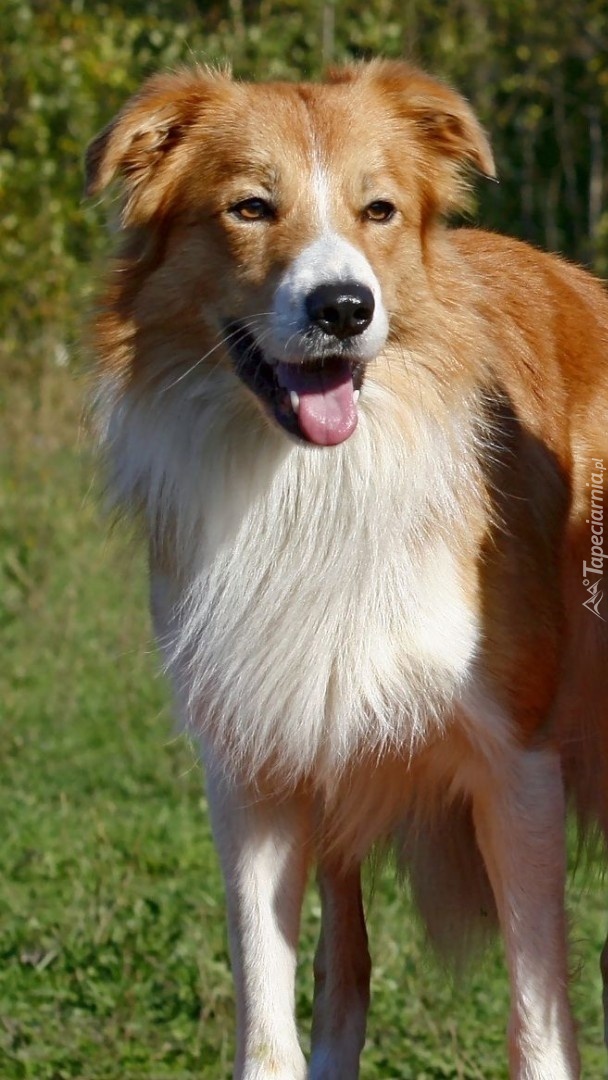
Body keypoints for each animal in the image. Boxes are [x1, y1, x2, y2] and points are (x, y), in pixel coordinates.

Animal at [85, 61, 608, 1080]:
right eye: (251, 207)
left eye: (380, 210)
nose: (343, 308)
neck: (319, 490)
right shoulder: (252, 770)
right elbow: (268, 1022)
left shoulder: (517, 763)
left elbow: (536, 1024)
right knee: (344, 970)